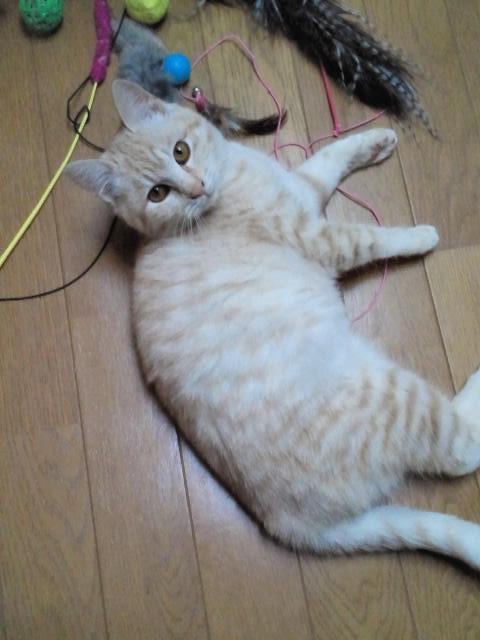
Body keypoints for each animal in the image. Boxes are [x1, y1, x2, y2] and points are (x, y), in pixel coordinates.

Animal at [66, 79, 480, 570]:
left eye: (181, 152)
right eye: (158, 194)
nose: (196, 188)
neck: (231, 181)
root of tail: (289, 524)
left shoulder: (303, 187)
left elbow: (328, 157)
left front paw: (374, 142)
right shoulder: (321, 239)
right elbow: (371, 238)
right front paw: (418, 235)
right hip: (395, 393)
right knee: (462, 451)